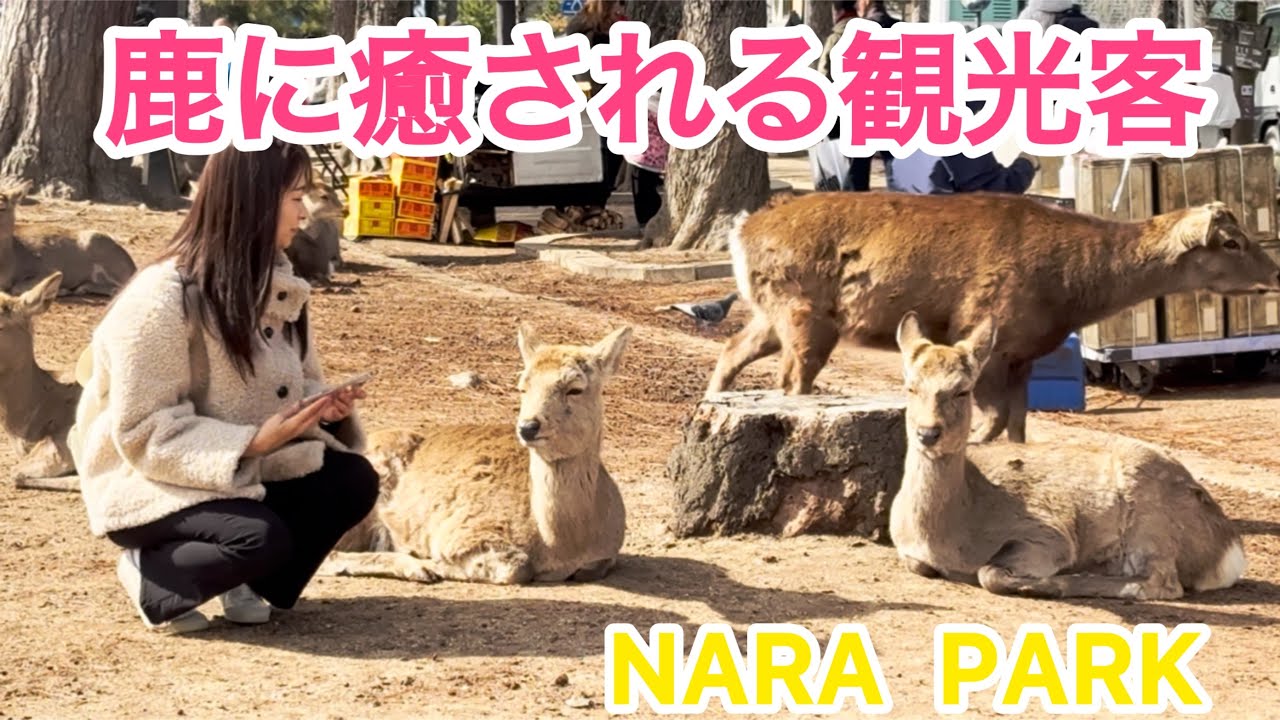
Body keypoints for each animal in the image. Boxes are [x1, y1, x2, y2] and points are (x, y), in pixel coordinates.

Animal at [319, 324, 632, 585]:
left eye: (575, 388)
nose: (528, 427)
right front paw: (433, 562)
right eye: (522, 386)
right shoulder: (463, 530)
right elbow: (515, 566)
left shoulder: (606, 554)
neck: (560, 543)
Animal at [709, 191, 1280, 444]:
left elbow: (1020, 423)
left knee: (732, 351)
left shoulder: (1025, 354)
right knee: (792, 380)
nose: (1274, 271)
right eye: (1232, 242)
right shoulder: (987, 334)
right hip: (805, 315)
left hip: (771, 314)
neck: (1072, 289)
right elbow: (993, 420)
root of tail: (742, 229)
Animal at [889, 311, 1245, 600]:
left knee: (1164, 583)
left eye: (963, 390)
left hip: (1151, 516)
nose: (928, 433)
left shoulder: (1049, 533)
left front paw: (1042, 580)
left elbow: (988, 572)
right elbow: (920, 566)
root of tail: (1231, 550)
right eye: (910, 387)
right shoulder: (907, 550)